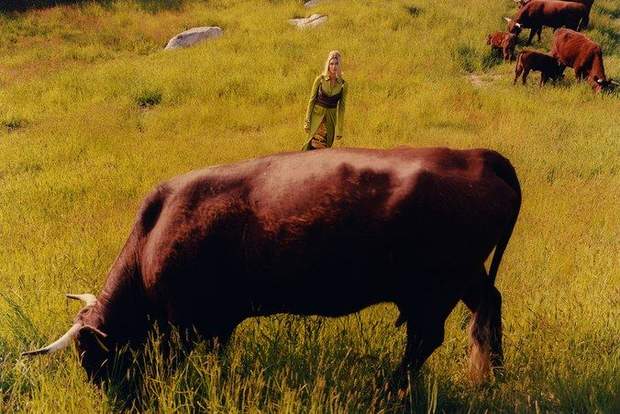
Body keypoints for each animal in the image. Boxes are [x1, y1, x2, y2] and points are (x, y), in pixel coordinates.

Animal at [21, 146, 520, 388]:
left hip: (434, 290)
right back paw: (491, 374)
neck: (153, 235)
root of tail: (478, 155)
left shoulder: (187, 324)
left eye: (92, 357)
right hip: (466, 275)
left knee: (424, 340)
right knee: (487, 308)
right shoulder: (214, 323)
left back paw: (390, 389)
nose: (107, 396)